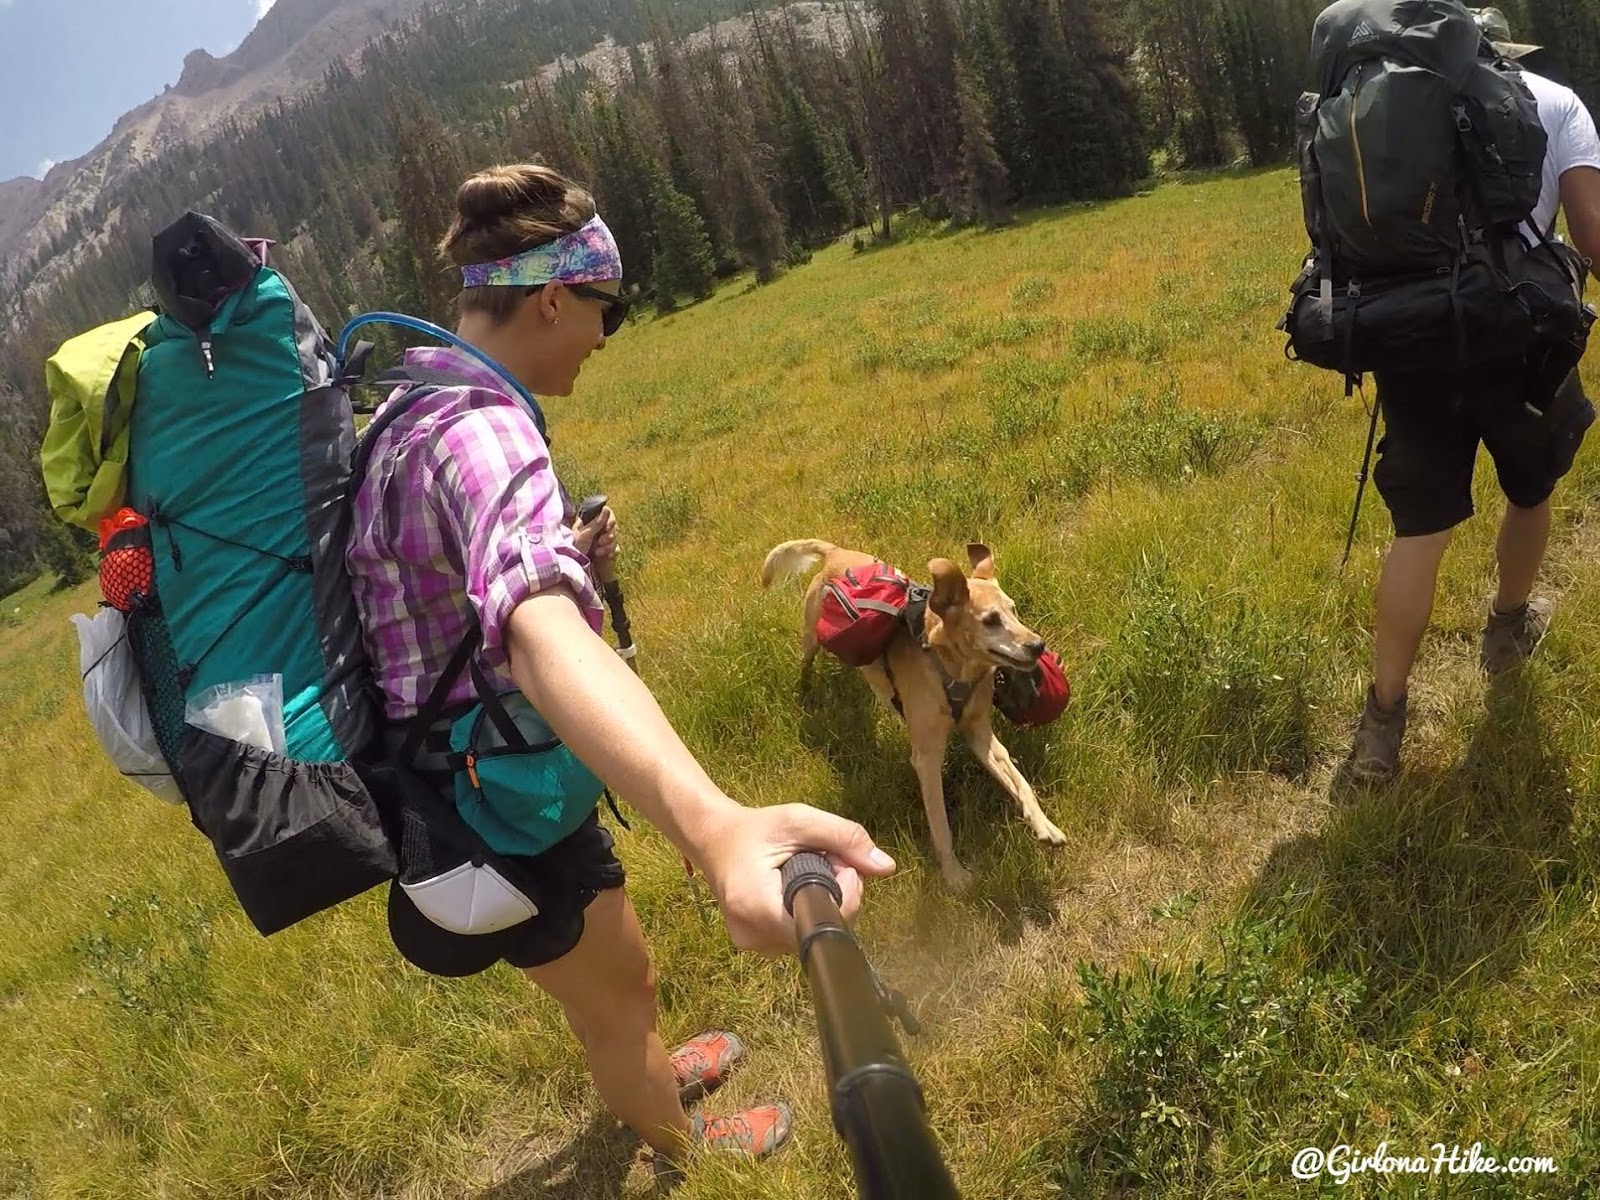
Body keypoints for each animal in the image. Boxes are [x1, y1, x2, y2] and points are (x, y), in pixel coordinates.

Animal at [758, 540, 1068, 889]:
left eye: (1013, 610)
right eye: (990, 620)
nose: (1037, 645)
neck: (952, 666)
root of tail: (836, 551)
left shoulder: (982, 735)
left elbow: (1020, 782)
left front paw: (1043, 824)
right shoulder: (927, 757)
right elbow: (941, 823)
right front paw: (954, 875)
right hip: (811, 637)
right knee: (806, 663)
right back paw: (806, 689)